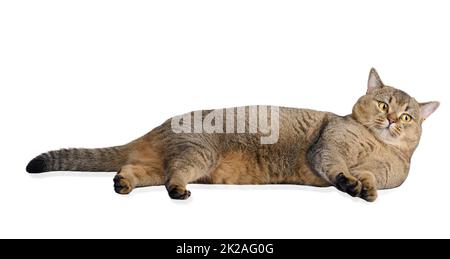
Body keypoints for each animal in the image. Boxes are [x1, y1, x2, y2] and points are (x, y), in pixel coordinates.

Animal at [26, 69, 438, 203]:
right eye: (383, 104)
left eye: (407, 115)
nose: (393, 121)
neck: (378, 146)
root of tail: (159, 126)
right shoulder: (329, 147)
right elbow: (338, 166)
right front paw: (348, 182)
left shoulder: (382, 173)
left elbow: (369, 178)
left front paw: (363, 188)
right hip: (198, 154)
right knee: (172, 175)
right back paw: (178, 191)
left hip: (161, 164)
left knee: (135, 170)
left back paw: (122, 184)